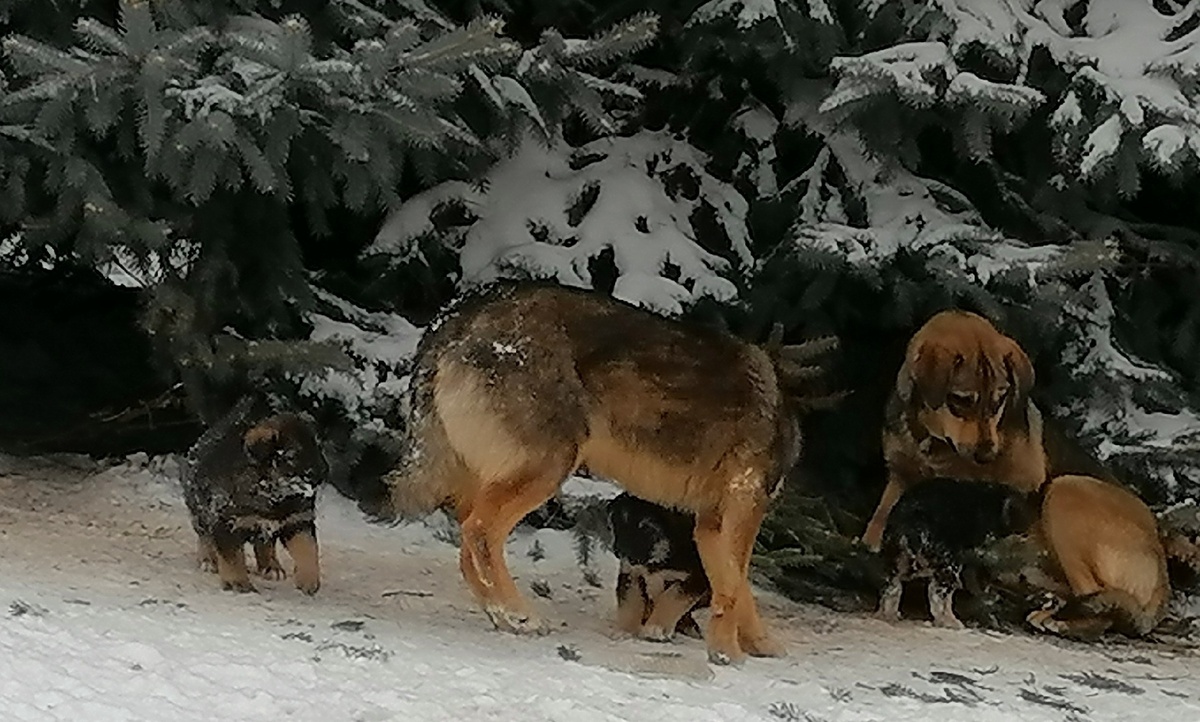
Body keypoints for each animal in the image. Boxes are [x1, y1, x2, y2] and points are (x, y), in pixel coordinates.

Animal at [181, 395, 328, 592]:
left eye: (317, 448)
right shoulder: (227, 522)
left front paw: (309, 579)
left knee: (265, 543)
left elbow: (308, 549)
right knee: (204, 536)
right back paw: (208, 559)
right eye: (292, 455)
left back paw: (271, 566)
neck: (274, 492)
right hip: (200, 511)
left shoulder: (297, 521)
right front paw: (237, 582)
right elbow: (232, 557)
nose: (324, 472)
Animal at [609, 491, 710, 638]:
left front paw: (655, 628)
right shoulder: (632, 573)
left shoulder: (697, 578)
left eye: (645, 528)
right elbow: (631, 600)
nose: (619, 552)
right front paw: (625, 630)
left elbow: (672, 598)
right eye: (617, 525)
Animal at [859, 305, 1046, 549]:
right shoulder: (901, 471)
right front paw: (870, 539)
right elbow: (883, 509)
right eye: (963, 400)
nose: (986, 456)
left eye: (999, 400)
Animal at [873, 474, 1041, 628]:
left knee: (893, 586)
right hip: (947, 564)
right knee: (939, 594)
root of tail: (912, 522)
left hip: (895, 557)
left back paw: (886, 615)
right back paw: (949, 621)